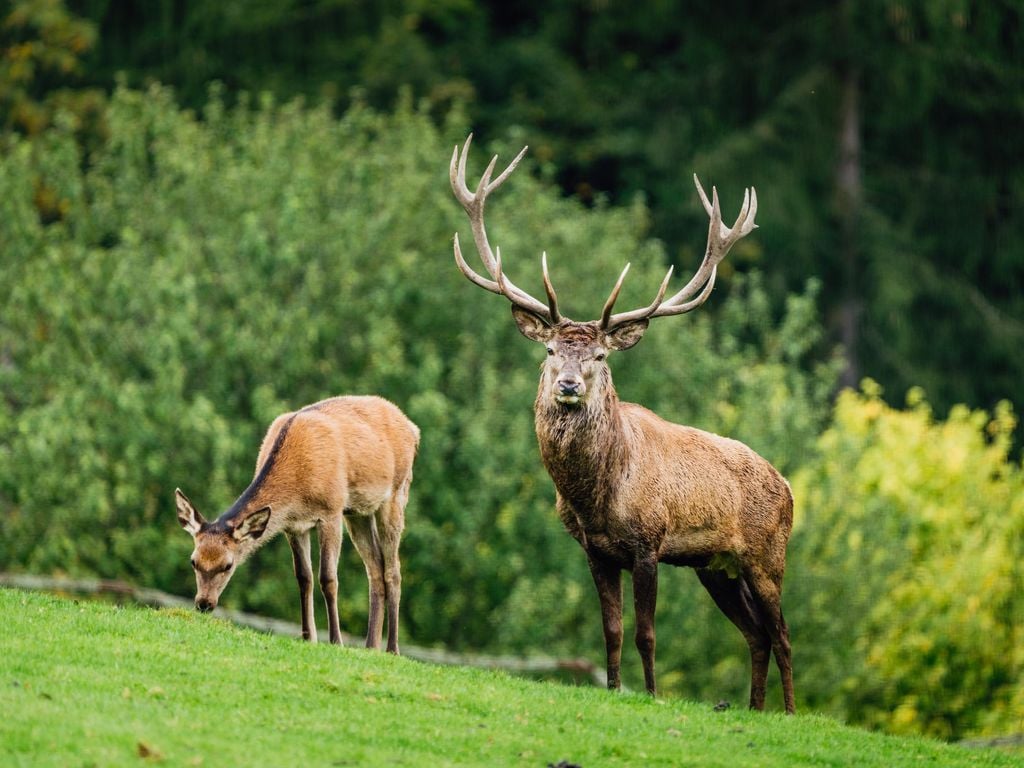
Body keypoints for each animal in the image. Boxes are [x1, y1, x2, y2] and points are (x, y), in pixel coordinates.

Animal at [174, 397, 417, 655]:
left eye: (228, 565)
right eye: (193, 561)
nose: (204, 603)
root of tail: (413, 429)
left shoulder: (332, 510)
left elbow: (328, 578)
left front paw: (336, 640)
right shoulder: (294, 526)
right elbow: (303, 577)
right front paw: (308, 637)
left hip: (396, 494)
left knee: (393, 569)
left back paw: (392, 649)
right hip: (359, 512)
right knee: (375, 567)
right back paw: (371, 646)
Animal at [452, 134, 794, 716]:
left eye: (600, 356)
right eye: (550, 351)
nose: (569, 385)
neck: (597, 495)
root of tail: (789, 486)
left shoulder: (648, 544)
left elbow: (645, 633)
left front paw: (651, 694)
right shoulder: (595, 550)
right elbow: (611, 630)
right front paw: (612, 688)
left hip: (768, 554)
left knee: (783, 635)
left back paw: (789, 711)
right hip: (715, 566)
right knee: (756, 634)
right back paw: (754, 708)